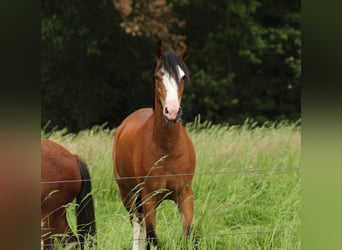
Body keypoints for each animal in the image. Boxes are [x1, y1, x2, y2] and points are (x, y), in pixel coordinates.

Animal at [113, 42, 196, 249]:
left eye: (183, 77)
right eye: (158, 76)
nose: (172, 111)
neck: (167, 148)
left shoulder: (185, 193)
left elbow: (189, 234)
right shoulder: (148, 195)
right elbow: (152, 237)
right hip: (128, 194)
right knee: (137, 224)